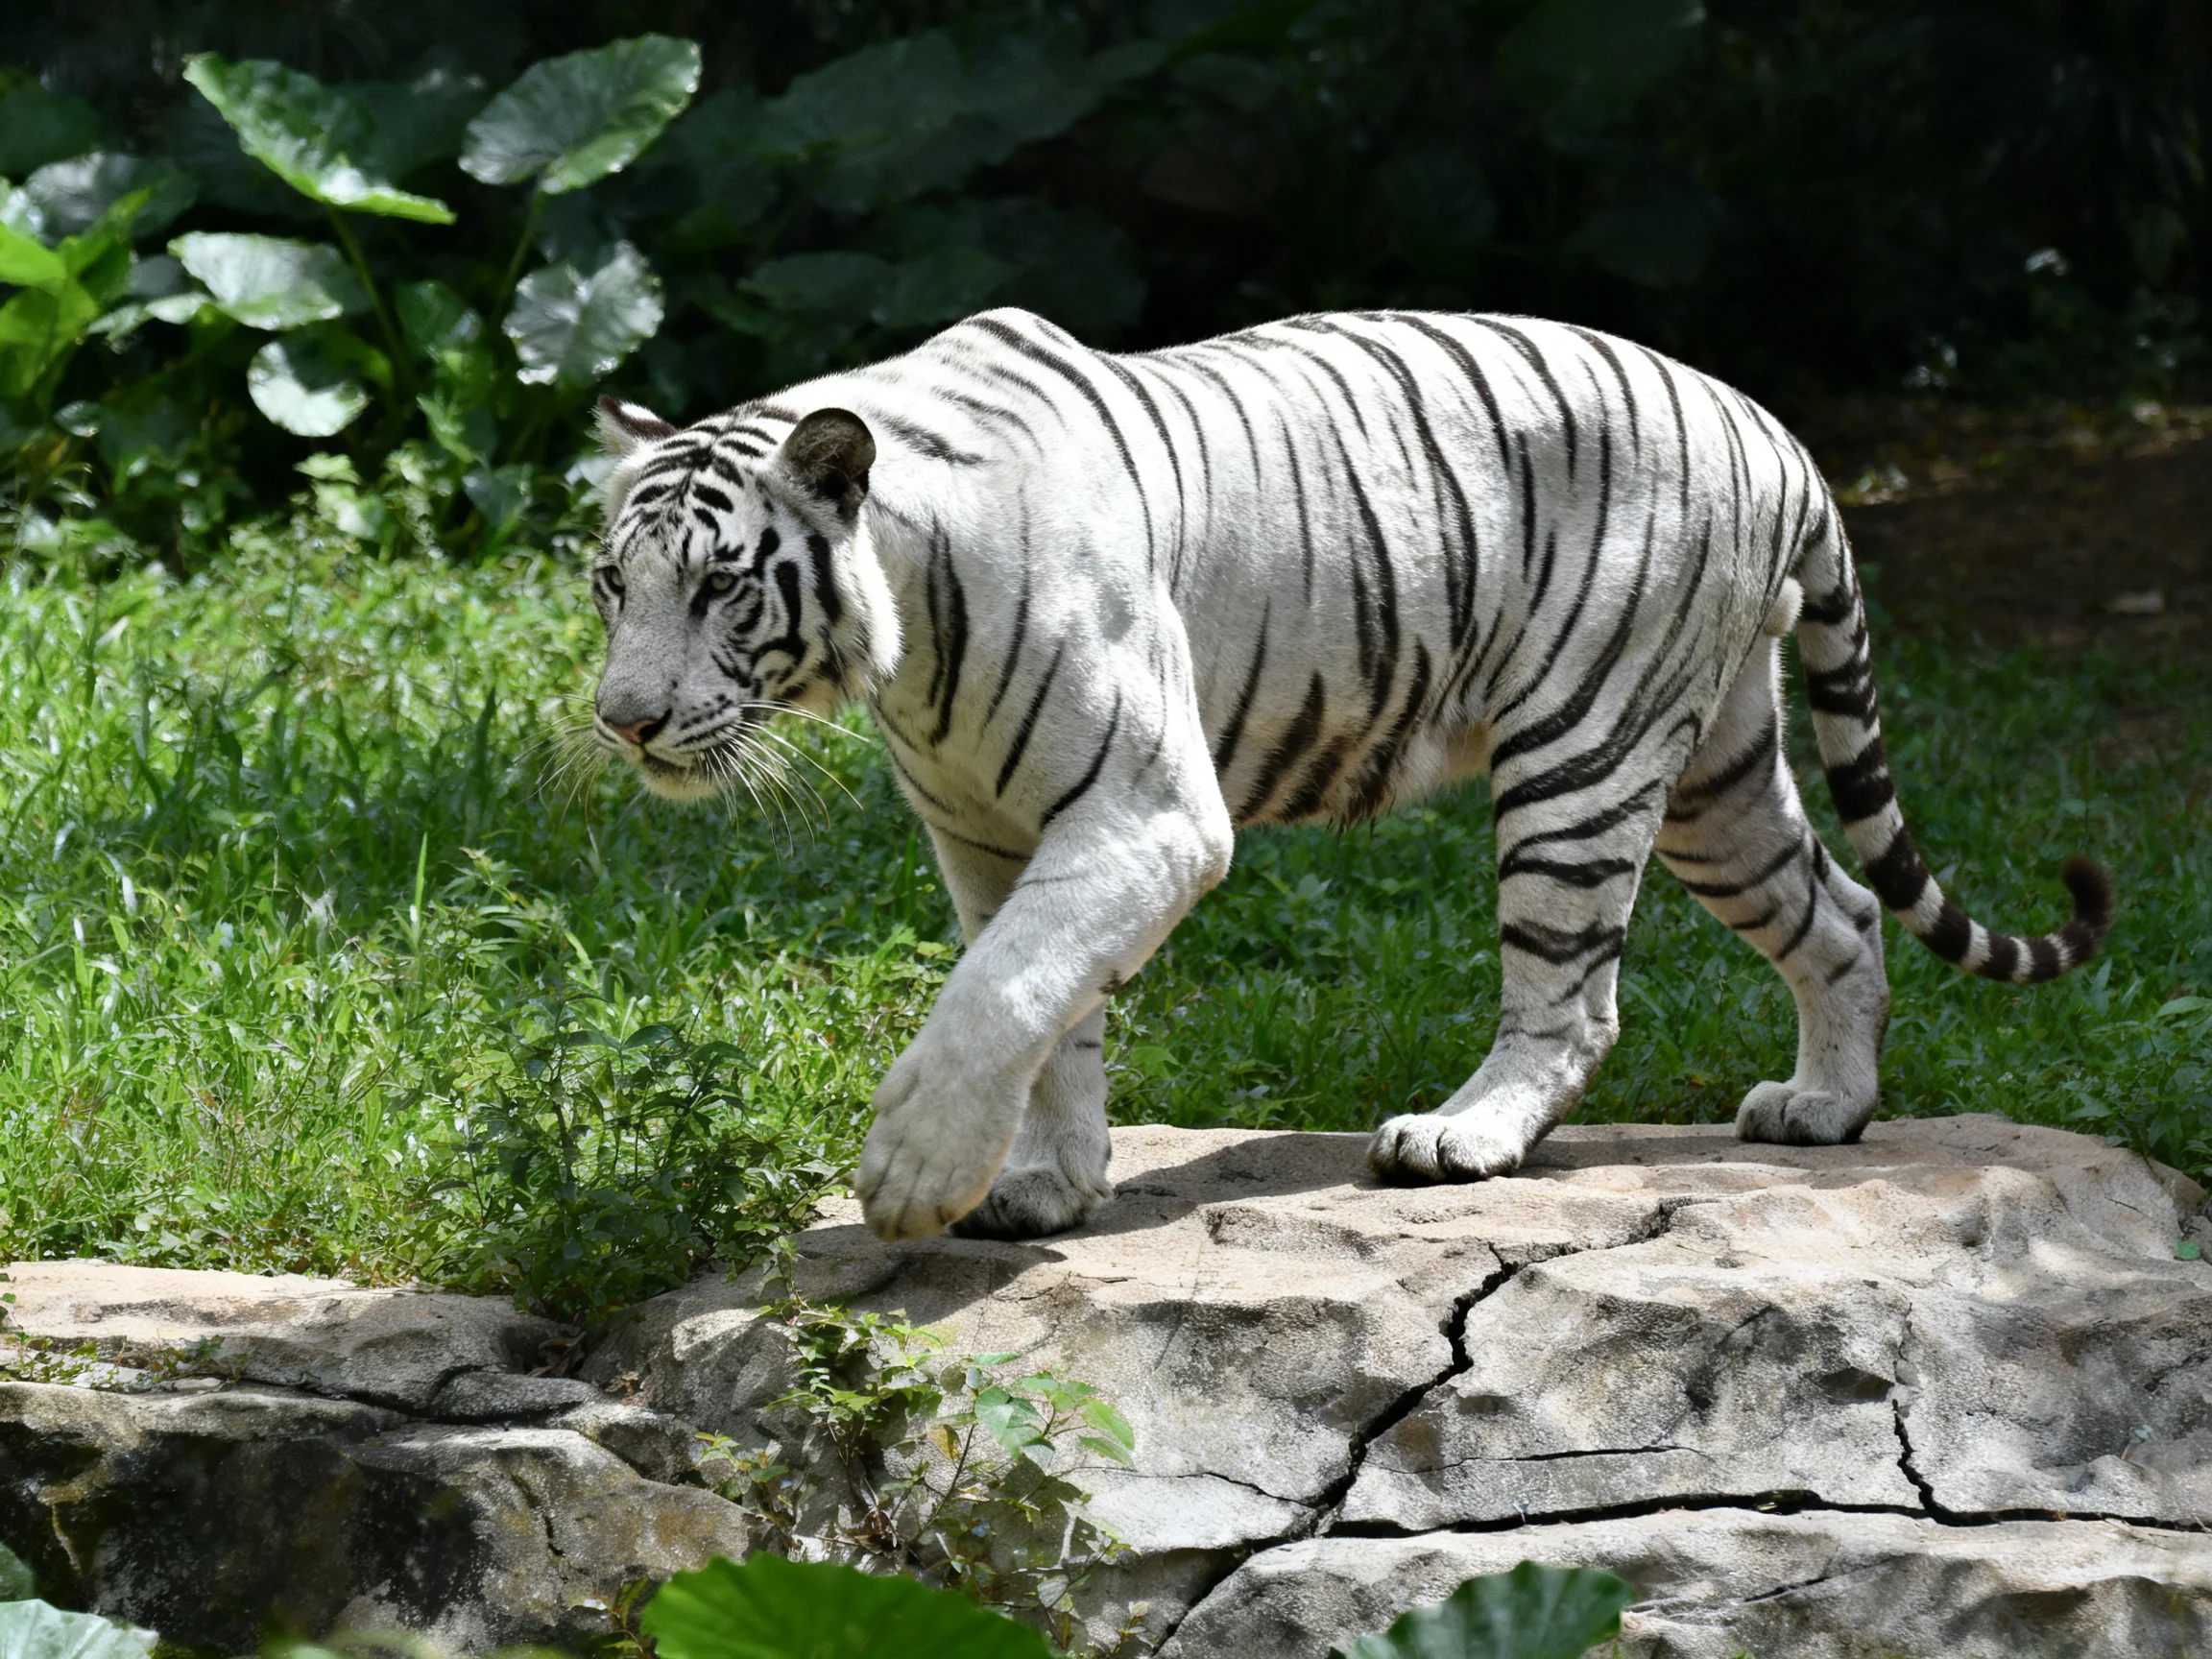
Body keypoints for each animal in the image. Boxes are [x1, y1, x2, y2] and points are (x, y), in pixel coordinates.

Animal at [587, 306, 2113, 1244]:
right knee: (1843, 915)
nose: (622, 722)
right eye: (612, 584)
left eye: (721, 587)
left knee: (1573, 999)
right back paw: (1825, 1110)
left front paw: (914, 1173)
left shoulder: (1146, 814)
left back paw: (1461, 1136)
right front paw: (1041, 1185)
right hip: (1716, 773)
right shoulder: (994, 838)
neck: (905, 635)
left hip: (1584, 752)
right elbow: (1046, 1010)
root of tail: (1777, 431)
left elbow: (1001, 992)